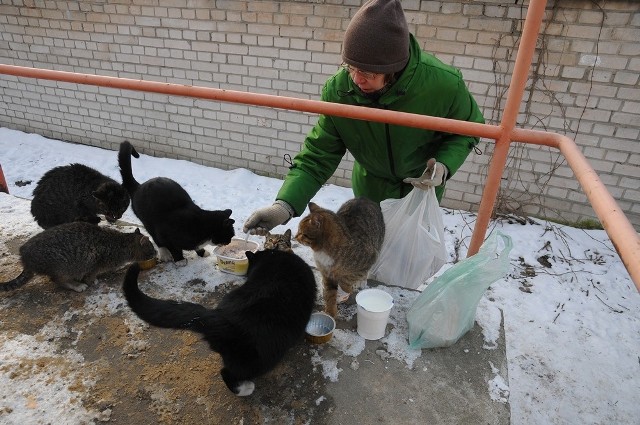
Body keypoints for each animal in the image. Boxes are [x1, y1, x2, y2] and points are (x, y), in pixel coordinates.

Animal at [1, 222, 157, 292]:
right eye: (151, 248)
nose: (156, 252)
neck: (120, 243)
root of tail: (25, 256)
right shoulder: (94, 263)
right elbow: (91, 276)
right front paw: (91, 281)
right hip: (63, 267)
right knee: (58, 280)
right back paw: (76, 285)